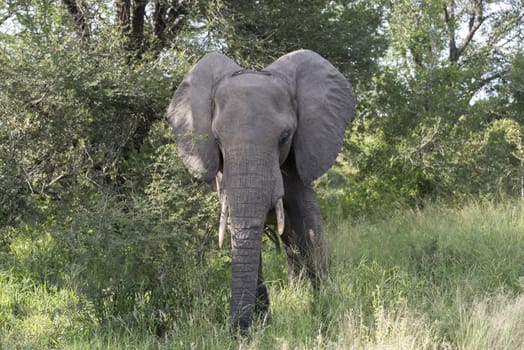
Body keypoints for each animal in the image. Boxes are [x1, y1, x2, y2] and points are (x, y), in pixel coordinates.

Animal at [167, 50, 356, 334]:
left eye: (285, 136)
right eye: (217, 140)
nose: (237, 331)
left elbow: (309, 223)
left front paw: (328, 304)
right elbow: (239, 228)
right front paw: (262, 322)